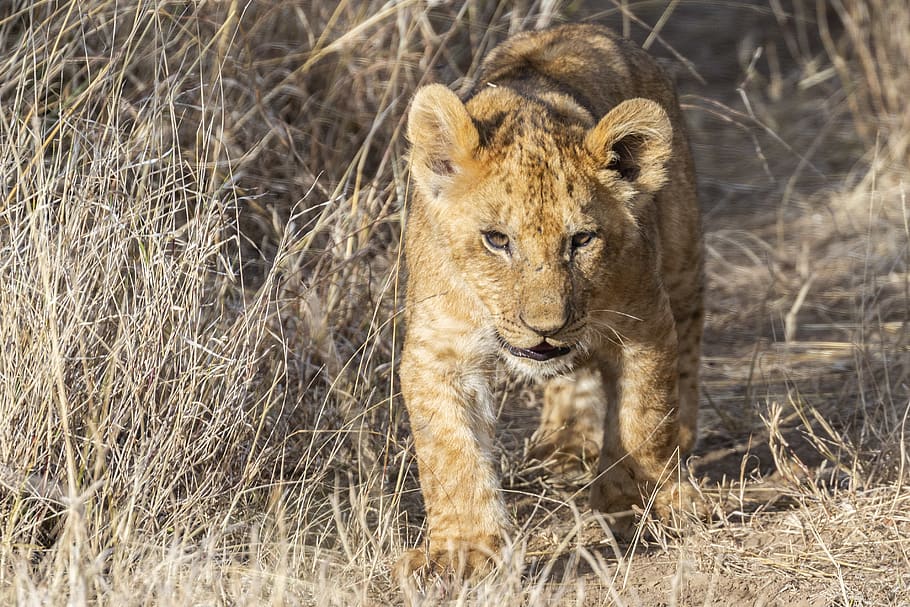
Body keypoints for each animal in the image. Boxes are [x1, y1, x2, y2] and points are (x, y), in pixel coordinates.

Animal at [397, 23, 704, 580]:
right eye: (497, 240)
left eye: (581, 240)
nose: (546, 326)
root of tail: (581, 26)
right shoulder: (439, 349)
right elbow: (450, 451)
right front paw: (464, 551)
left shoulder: (643, 323)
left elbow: (643, 418)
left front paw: (634, 504)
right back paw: (565, 440)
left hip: (683, 250)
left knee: (687, 344)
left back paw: (681, 451)